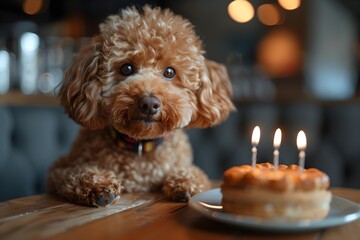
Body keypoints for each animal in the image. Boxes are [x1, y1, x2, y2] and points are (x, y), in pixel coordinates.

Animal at [47, 6, 233, 208]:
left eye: (170, 72)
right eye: (126, 68)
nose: (149, 104)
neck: (141, 147)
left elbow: (195, 173)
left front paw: (186, 182)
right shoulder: (59, 168)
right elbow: (75, 173)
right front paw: (98, 184)